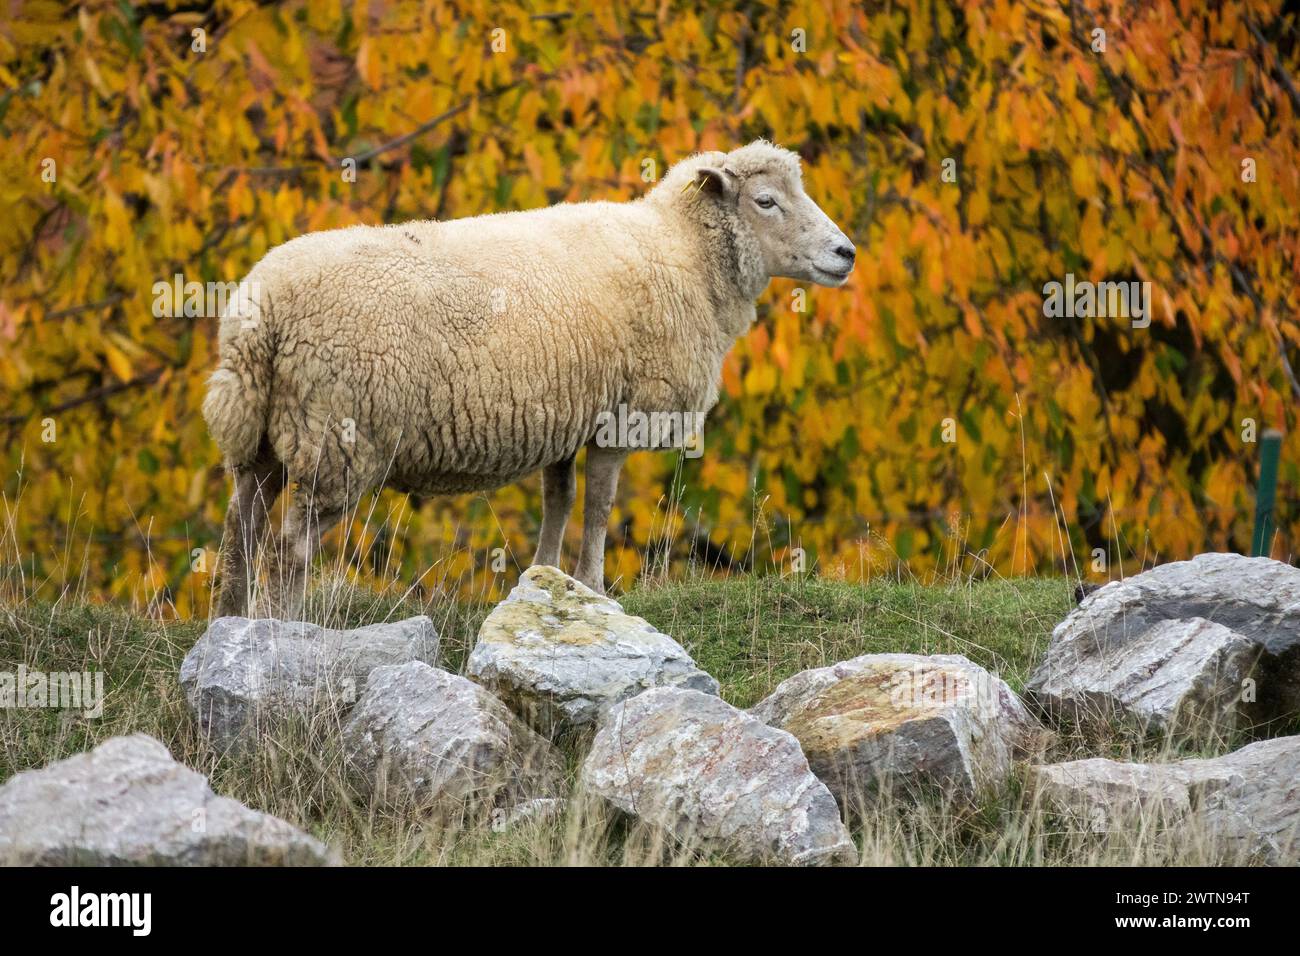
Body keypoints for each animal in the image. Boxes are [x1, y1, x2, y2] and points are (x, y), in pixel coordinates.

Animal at [205, 140, 852, 621]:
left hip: (264, 432)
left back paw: (229, 623)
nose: (846, 253)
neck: (681, 251)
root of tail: (261, 309)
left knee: (240, 528)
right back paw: (281, 629)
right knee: (288, 548)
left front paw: (545, 579)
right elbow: (599, 507)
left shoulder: (563, 413)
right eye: (766, 201)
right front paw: (592, 585)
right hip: (338, 436)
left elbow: (558, 501)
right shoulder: (619, 415)